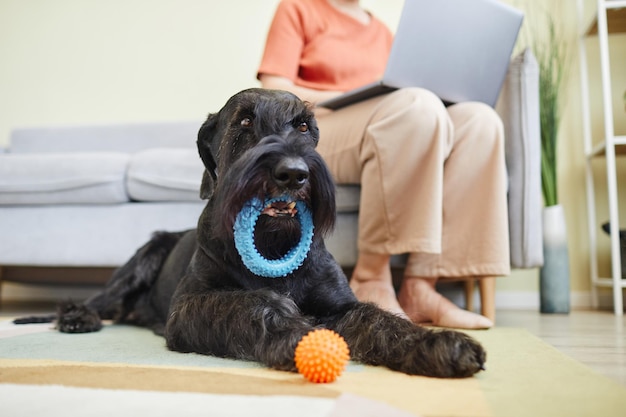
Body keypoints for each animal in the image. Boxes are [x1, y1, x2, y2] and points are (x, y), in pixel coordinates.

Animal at [17, 88, 482, 376]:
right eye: (243, 123)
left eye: (303, 126)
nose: (292, 173)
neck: (273, 242)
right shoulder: (189, 307)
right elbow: (251, 302)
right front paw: (298, 333)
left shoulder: (341, 306)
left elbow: (379, 319)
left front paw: (439, 344)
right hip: (141, 261)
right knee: (103, 299)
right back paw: (77, 317)